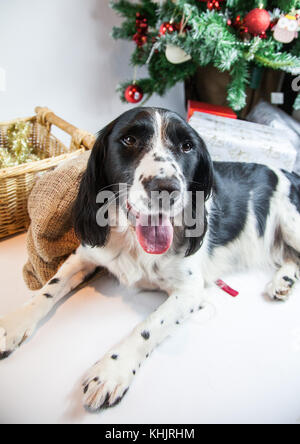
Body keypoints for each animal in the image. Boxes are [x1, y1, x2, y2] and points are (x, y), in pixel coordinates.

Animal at [0, 106, 300, 412]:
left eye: (187, 146)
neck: (133, 240)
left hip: (292, 224)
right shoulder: (85, 255)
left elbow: (148, 326)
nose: (166, 188)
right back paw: (283, 281)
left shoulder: (189, 290)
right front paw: (12, 325)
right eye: (129, 139)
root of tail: (289, 172)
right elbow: (48, 289)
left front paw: (112, 370)